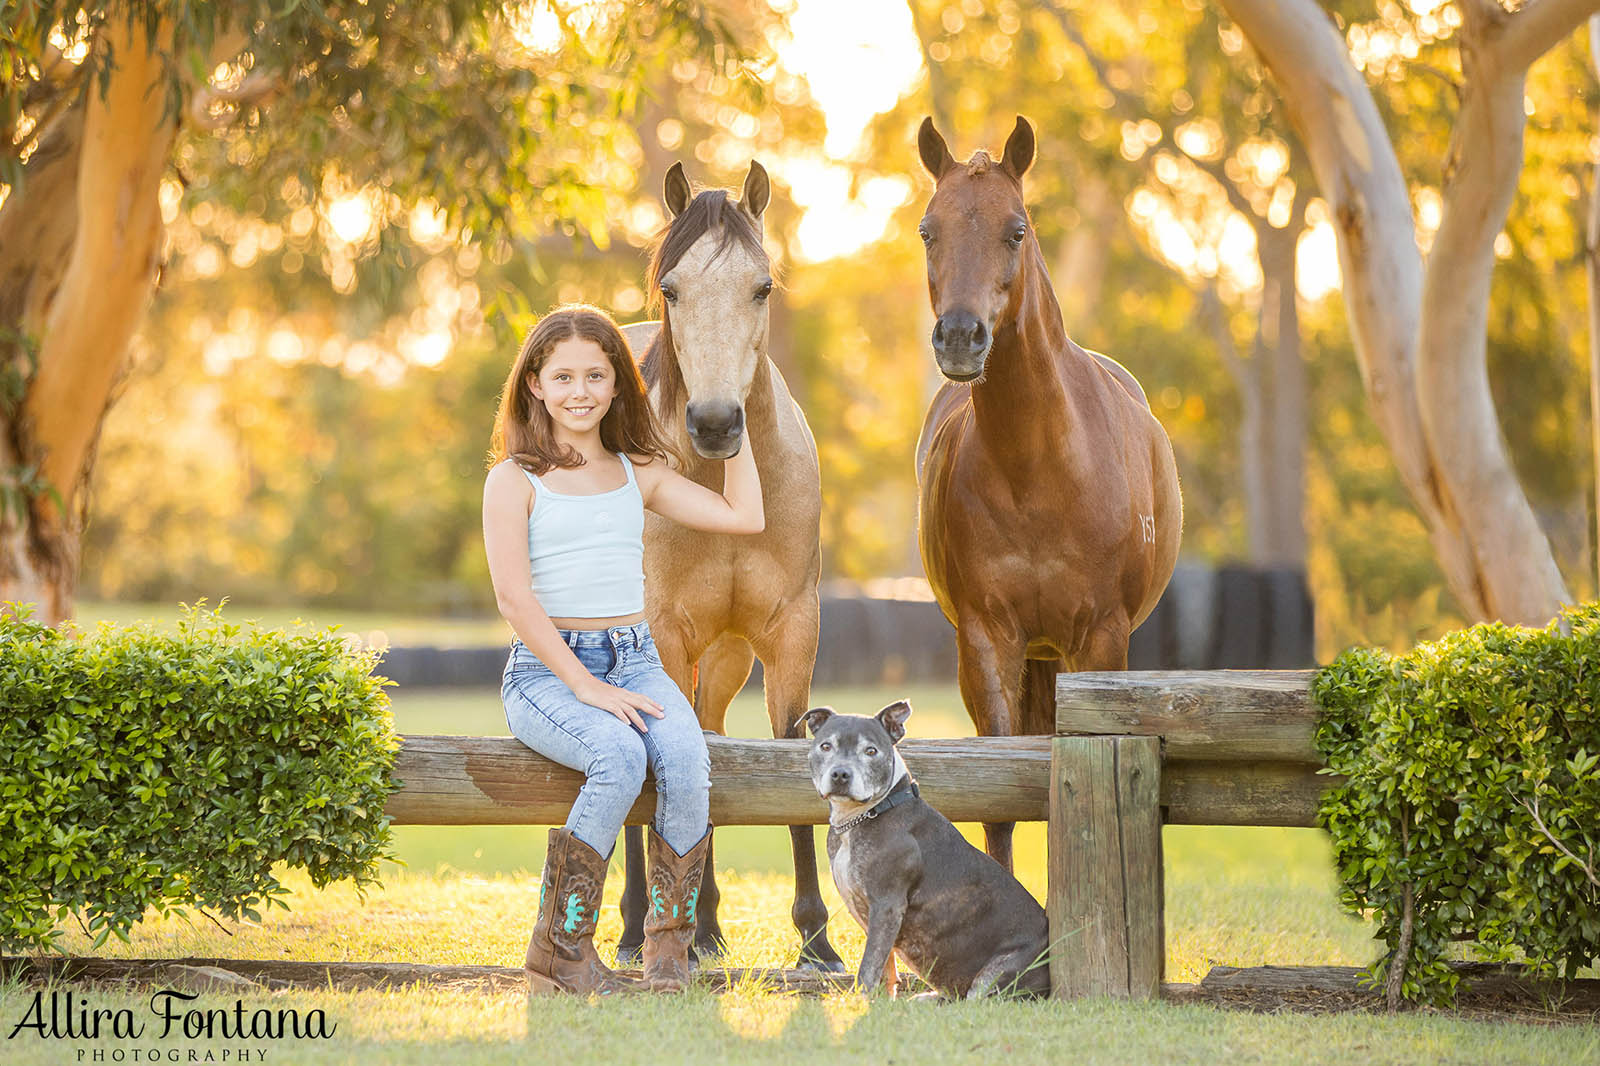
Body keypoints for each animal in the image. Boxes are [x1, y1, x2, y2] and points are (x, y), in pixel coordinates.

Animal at [608, 161, 844, 966]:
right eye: (673, 288)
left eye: (762, 286)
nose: (713, 424)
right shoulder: (665, 636)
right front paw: (644, 931)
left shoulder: (792, 636)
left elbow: (787, 761)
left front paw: (816, 941)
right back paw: (645, 925)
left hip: (727, 661)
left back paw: (706, 925)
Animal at [800, 697, 1049, 998]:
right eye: (826, 746)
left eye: (871, 751)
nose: (840, 773)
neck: (867, 813)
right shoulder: (876, 914)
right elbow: (885, 965)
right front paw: (882, 1002)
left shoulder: (886, 905)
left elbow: (869, 965)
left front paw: (860, 1001)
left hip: (1000, 969)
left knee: (979, 998)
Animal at [921, 114, 1184, 870]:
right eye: (928, 230)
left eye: (1016, 229)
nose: (960, 337)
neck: (1036, 471)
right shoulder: (986, 640)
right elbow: (999, 794)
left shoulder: (1101, 640)